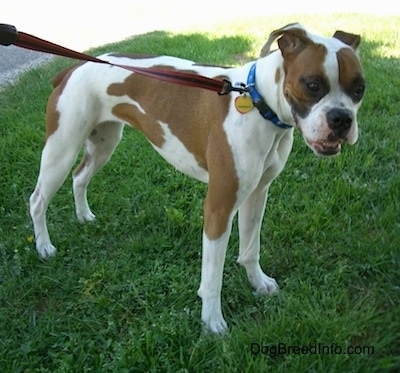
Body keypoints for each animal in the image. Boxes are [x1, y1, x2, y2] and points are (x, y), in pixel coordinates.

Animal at [28, 24, 366, 332]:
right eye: (313, 84)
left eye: (359, 89)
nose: (341, 119)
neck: (258, 103)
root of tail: (73, 67)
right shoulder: (218, 208)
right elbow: (212, 277)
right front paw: (212, 322)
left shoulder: (257, 195)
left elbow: (250, 249)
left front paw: (258, 283)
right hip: (61, 150)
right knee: (37, 200)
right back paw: (44, 247)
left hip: (103, 144)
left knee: (79, 177)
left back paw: (84, 215)